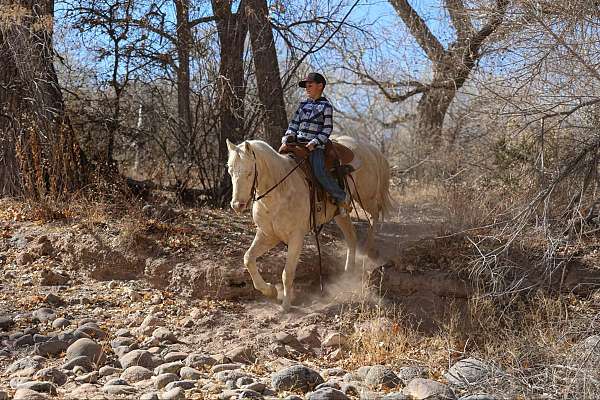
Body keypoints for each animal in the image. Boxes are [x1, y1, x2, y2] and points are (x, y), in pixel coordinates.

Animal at [225, 135, 394, 310]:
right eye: (230, 171)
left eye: (249, 172)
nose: (237, 205)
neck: (280, 191)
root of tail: (369, 147)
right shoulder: (268, 235)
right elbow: (248, 258)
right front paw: (270, 291)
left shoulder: (296, 237)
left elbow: (287, 272)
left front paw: (286, 305)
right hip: (340, 214)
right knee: (351, 236)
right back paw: (349, 271)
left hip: (367, 197)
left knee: (375, 215)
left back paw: (368, 249)